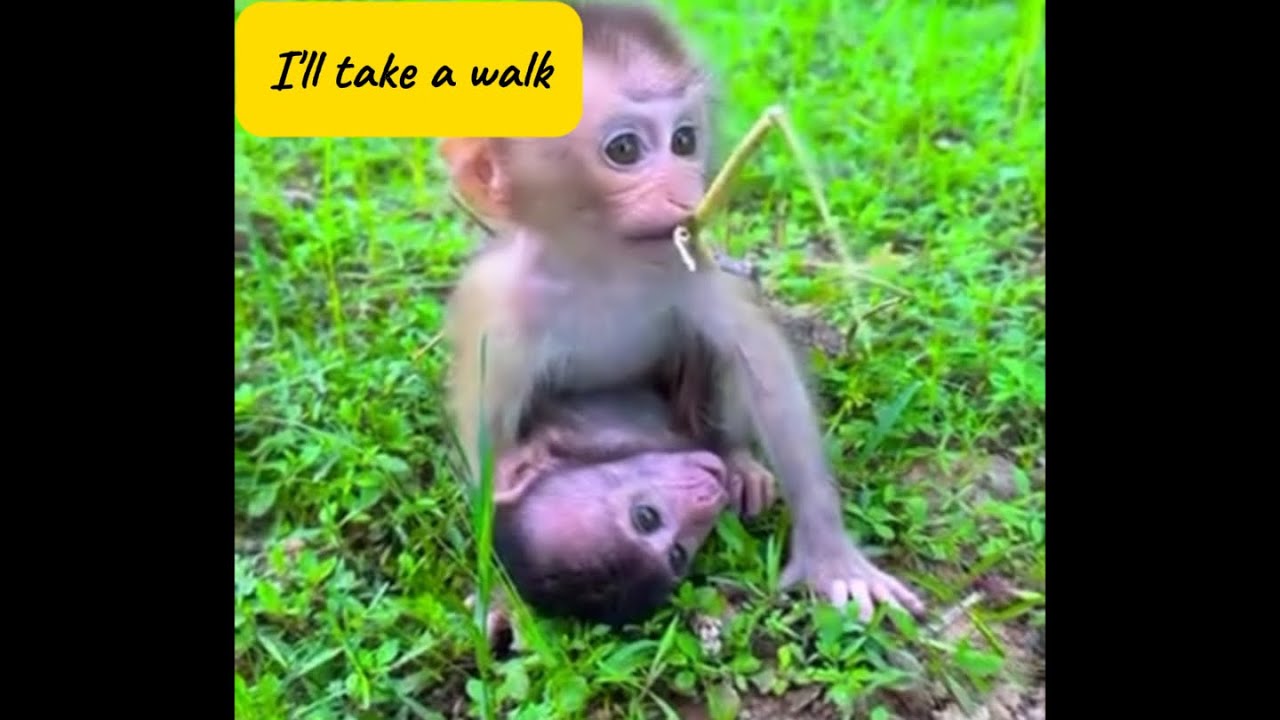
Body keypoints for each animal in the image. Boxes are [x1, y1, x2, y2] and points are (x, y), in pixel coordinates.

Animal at [441, 0, 925, 623]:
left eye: (685, 140)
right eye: (624, 149)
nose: (688, 188)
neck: (599, 267)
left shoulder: (683, 255)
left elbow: (759, 359)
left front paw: (829, 554)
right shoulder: (496, 313)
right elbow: (486, 440)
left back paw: (739, 460)